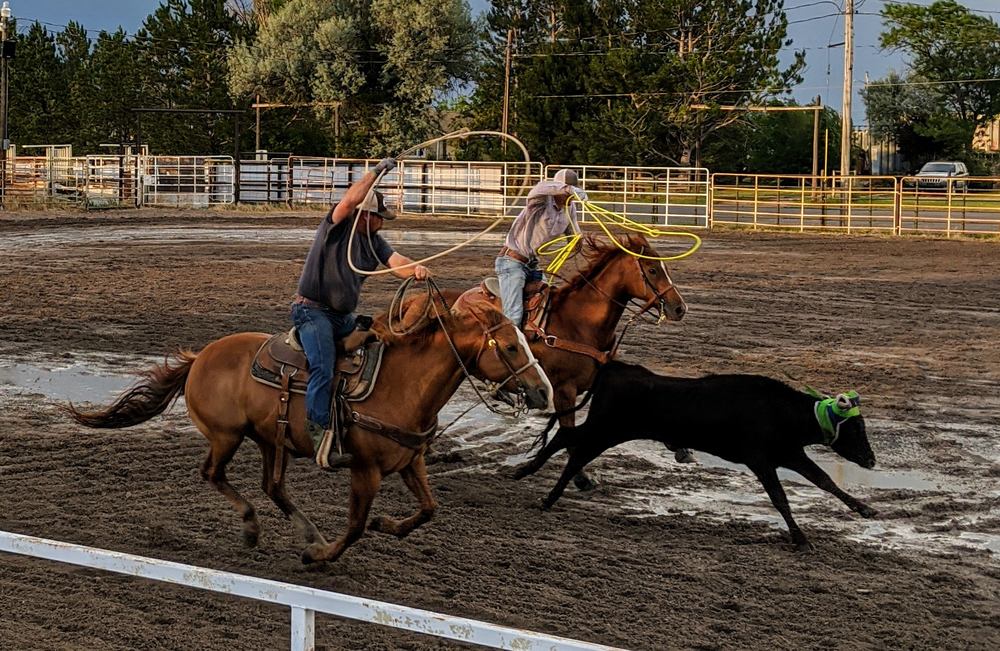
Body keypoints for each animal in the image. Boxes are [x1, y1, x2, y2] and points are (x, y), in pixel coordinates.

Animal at [65, 292, 552, 564]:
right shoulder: (366, 470)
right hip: (227, 436)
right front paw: (319, 556)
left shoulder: (410, 461)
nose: (543, 392)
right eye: (511, 346)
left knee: (272, 486)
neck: (400, 384)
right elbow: (354, 526)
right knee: (214, 474)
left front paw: (386, 526)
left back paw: (305, 529)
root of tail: (201, 356)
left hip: (268, 438)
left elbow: (429, 509)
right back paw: (255, 528)